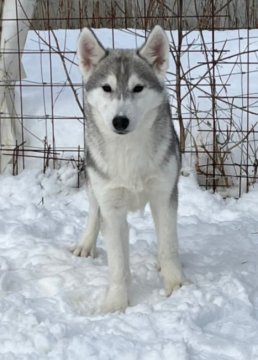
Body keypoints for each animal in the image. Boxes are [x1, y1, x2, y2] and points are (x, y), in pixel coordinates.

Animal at [73, 25, 184, 312]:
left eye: (138, 88)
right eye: (107, 88)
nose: (120, 121)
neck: (129, 152)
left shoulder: (164, 195)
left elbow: (168, 246)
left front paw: (176, 285)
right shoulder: (111, 205)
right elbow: (118, 264)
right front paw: (116, 303)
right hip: (93, 178)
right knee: (93, 211)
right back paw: (86, 243)